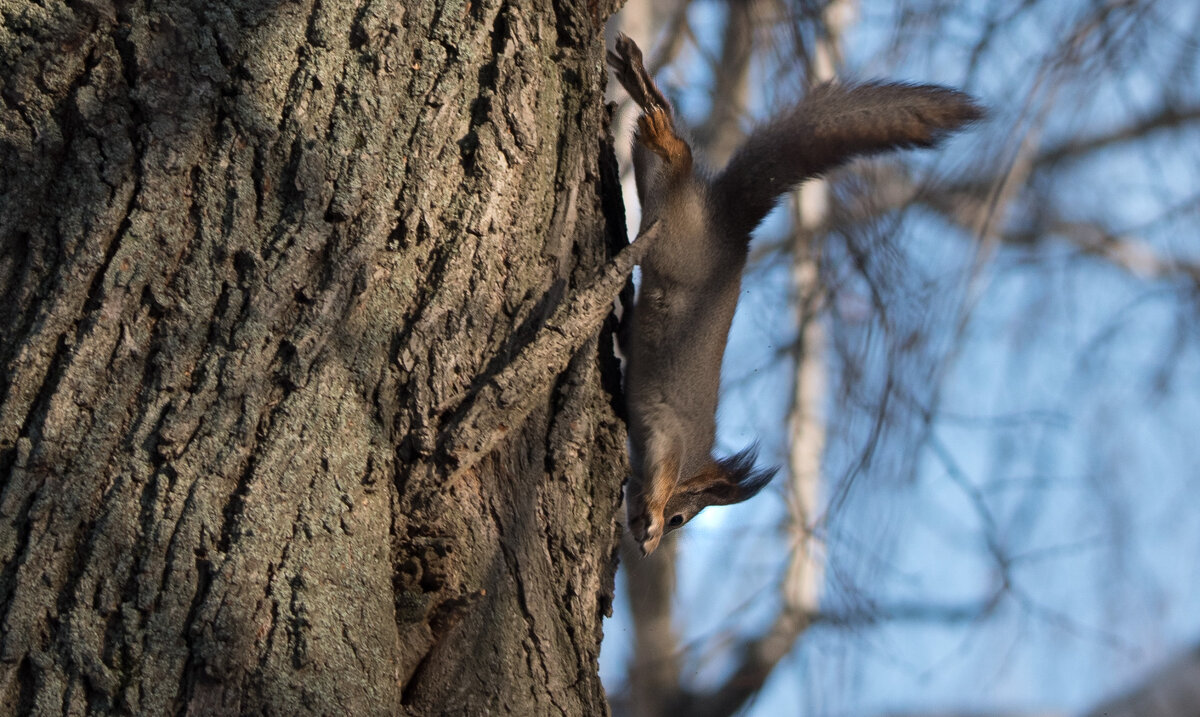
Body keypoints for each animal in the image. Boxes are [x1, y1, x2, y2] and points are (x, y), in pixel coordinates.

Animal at [609, 33, 984, 558]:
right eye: (683, 518)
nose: (649, 543)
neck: (691, 462)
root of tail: (731, 226)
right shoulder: (671, 439)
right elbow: (663, 474)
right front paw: (655, 515)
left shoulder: (664, 439)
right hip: (677, 239)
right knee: (676, 151)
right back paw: (652, 103)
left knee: (661, 153)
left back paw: (640, 87)